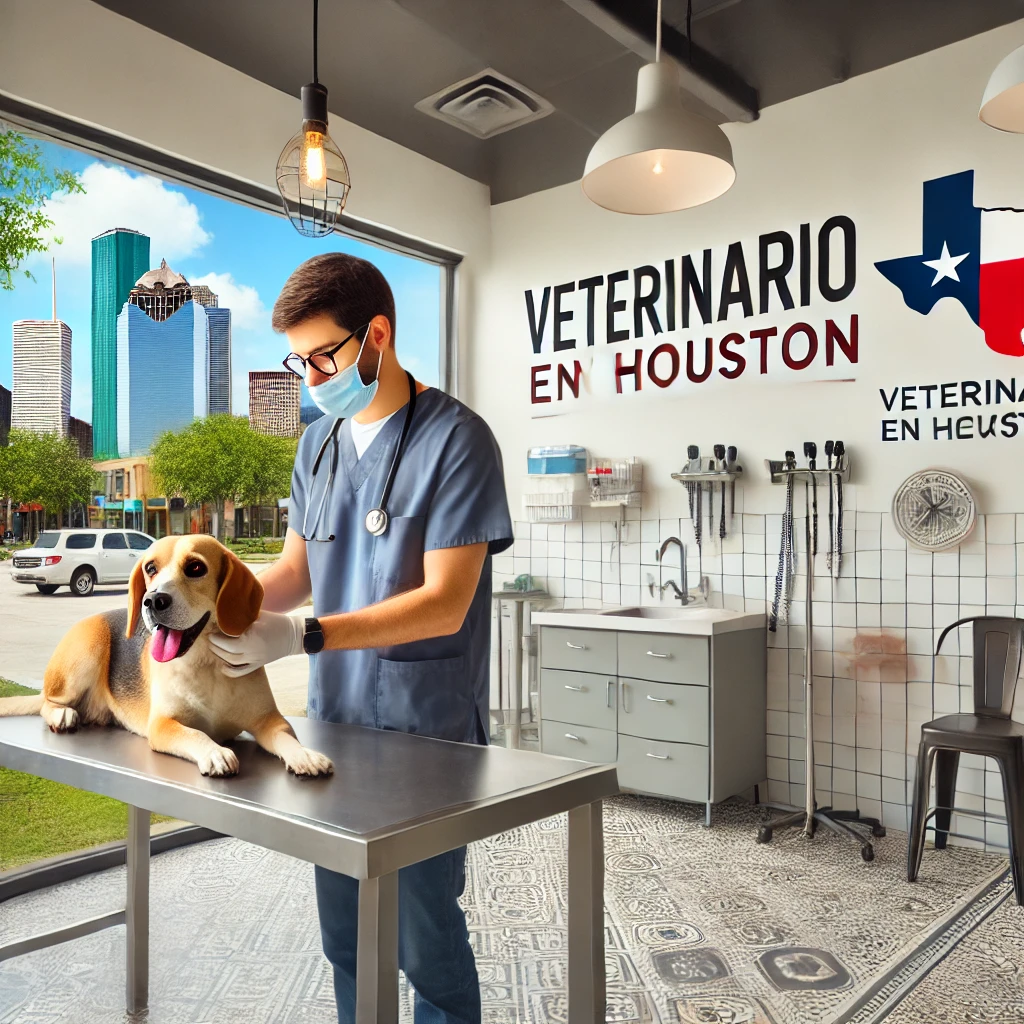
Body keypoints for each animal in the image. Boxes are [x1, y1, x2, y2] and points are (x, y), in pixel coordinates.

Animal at [0, 532, 331, 778]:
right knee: (48, 701)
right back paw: (63, 714)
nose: (152, 600)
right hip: (87, 648)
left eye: (196, 567)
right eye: (150, 568)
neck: (205, 663)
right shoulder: (162, 726)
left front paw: (304, 755)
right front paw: (215, 752)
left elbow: (287, 737)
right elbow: (196, 734)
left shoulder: (269, 720)